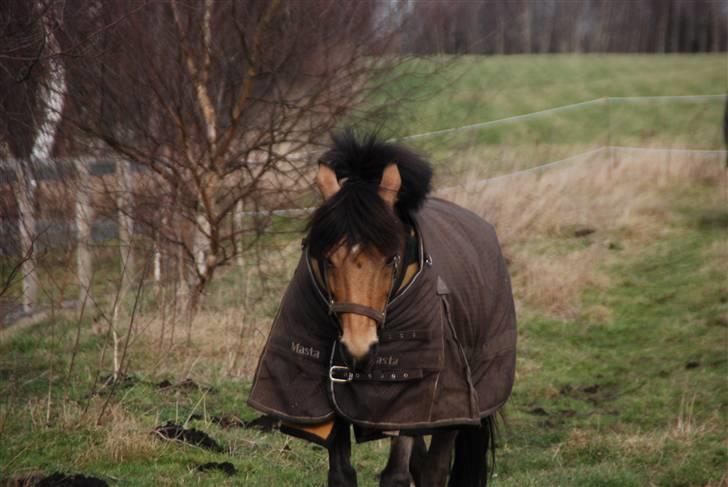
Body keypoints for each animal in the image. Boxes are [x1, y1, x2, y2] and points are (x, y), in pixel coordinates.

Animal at [250, 132, 516, 486]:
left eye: (391, 259)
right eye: (327, 258)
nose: (357, 348)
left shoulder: (407, 400)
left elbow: (396, 475)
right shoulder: (332, 404)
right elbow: (341, 474)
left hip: (454, 406)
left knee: (435, 467)